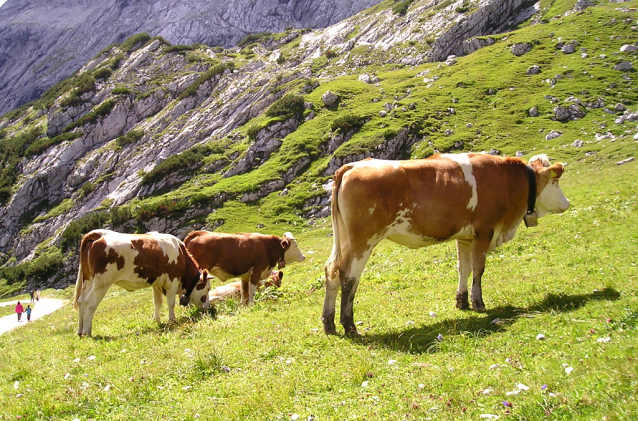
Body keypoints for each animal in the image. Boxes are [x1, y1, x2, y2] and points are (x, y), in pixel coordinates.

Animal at [72, 228, 212, 336]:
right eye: (208, 288)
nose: (208, 307)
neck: (180, 254)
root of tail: (99, 234)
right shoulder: (172, 280)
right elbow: (170, 303)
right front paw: (172, 320)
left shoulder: (157, 283)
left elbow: (157, 302)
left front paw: (157, 320)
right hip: (102, 282)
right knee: (89, 302)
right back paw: (87, 332)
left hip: (89, 280)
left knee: (81, 301)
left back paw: (80, 331)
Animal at [324, 153, 568, 334]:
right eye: (555, 181)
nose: (567, 202)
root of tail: (351, 166)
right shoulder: (484, 231)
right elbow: (478, 269)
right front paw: (478, 303)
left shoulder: (465, 236)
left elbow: (464, 268)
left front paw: (462, 302)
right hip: (362, 240)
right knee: (348, 276)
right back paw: (349, 326)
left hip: (344, 238)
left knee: (331, 270)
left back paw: (329, 324)